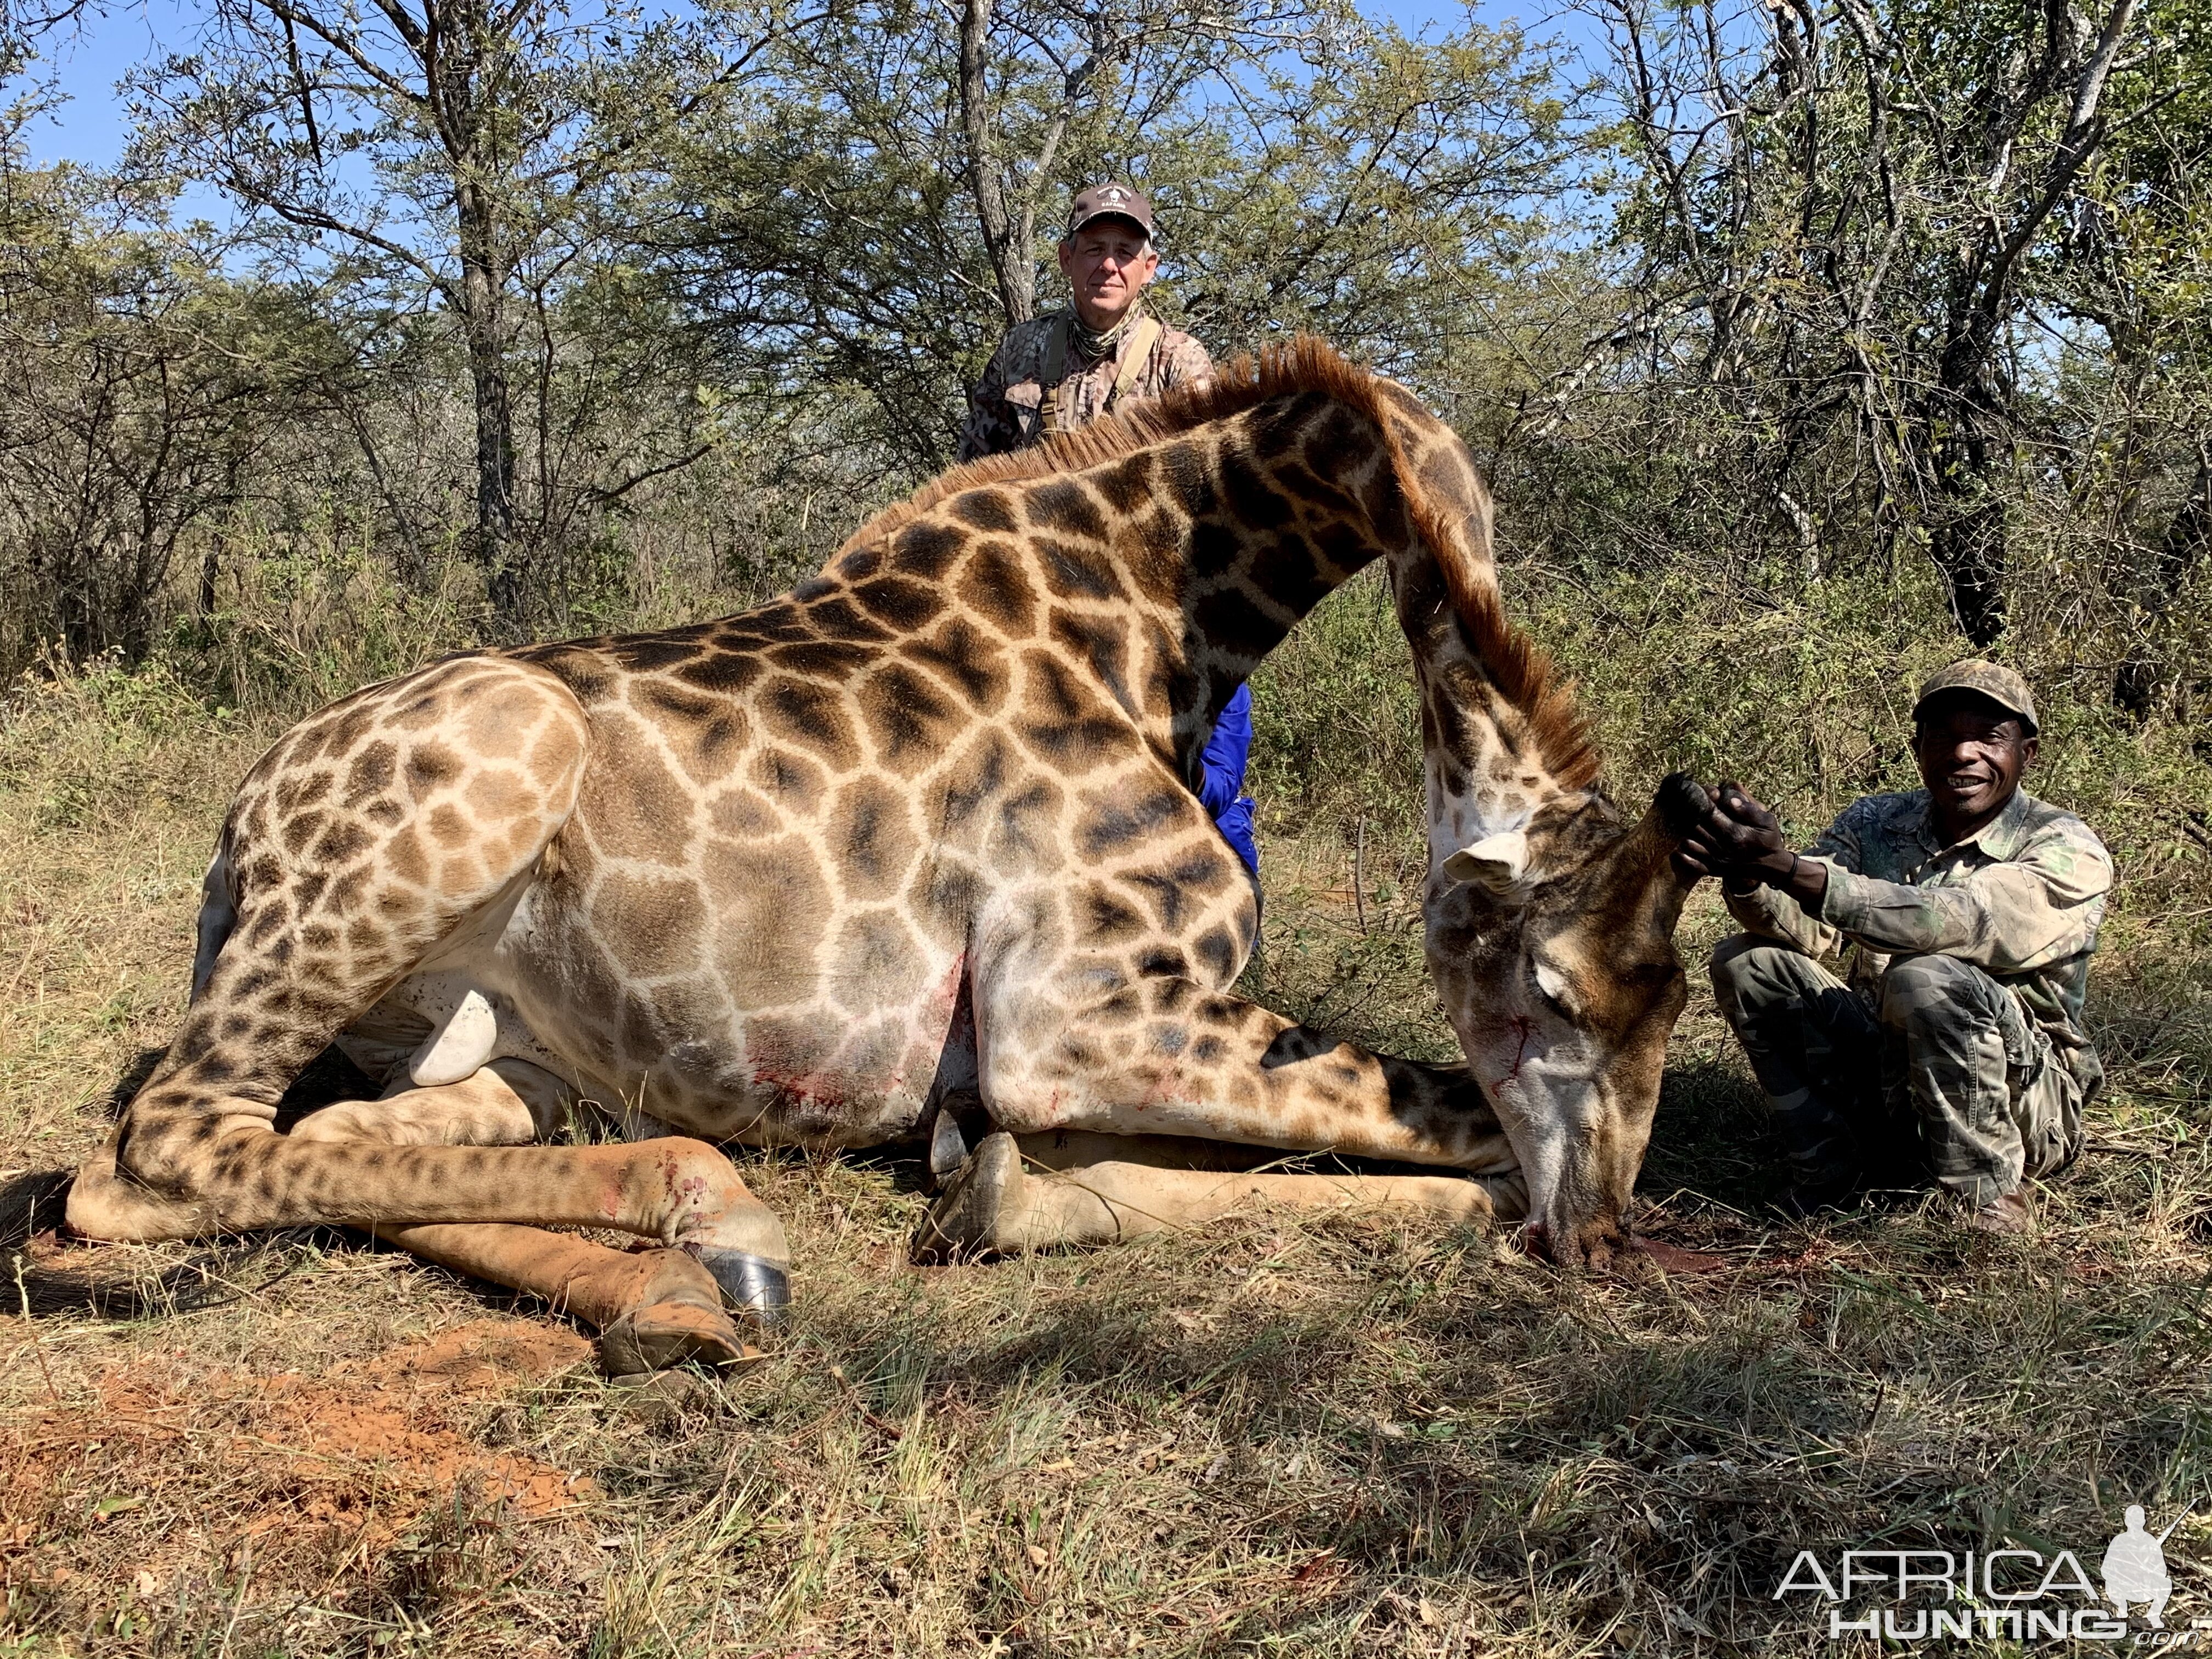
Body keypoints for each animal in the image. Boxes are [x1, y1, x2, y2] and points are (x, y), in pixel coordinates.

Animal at [64, 338, 1690, 1380]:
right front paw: (1012, 1194)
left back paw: (694, 1260)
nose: (1604, 1237)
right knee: (154, 1150)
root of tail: (238, 826)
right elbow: (1455, 1122)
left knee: (316, 1135)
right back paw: (714, 1218)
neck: (1144, 624)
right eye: (1553, 991)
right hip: (484, 766)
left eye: (1670, 1000)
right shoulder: (1082, 1020)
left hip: (503, 1050)